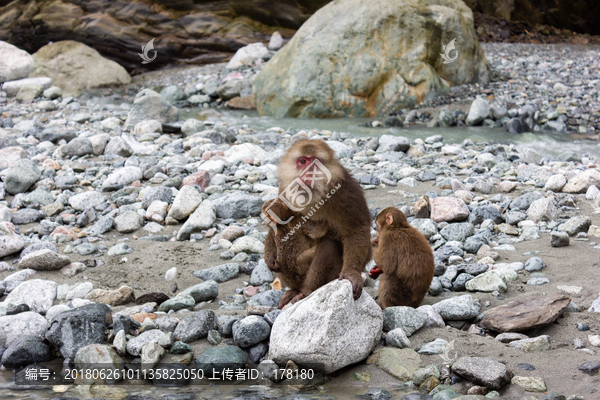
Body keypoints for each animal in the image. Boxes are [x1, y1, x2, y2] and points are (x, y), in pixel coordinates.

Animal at [276, 139, 370, 298]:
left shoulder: (344, 190)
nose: (308, 176)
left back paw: (306, 290)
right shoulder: (285, 189)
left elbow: (356, 229)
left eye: (314, 163)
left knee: (328, 245)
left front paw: (351, 273)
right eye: (303, 161)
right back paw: (295, 290)